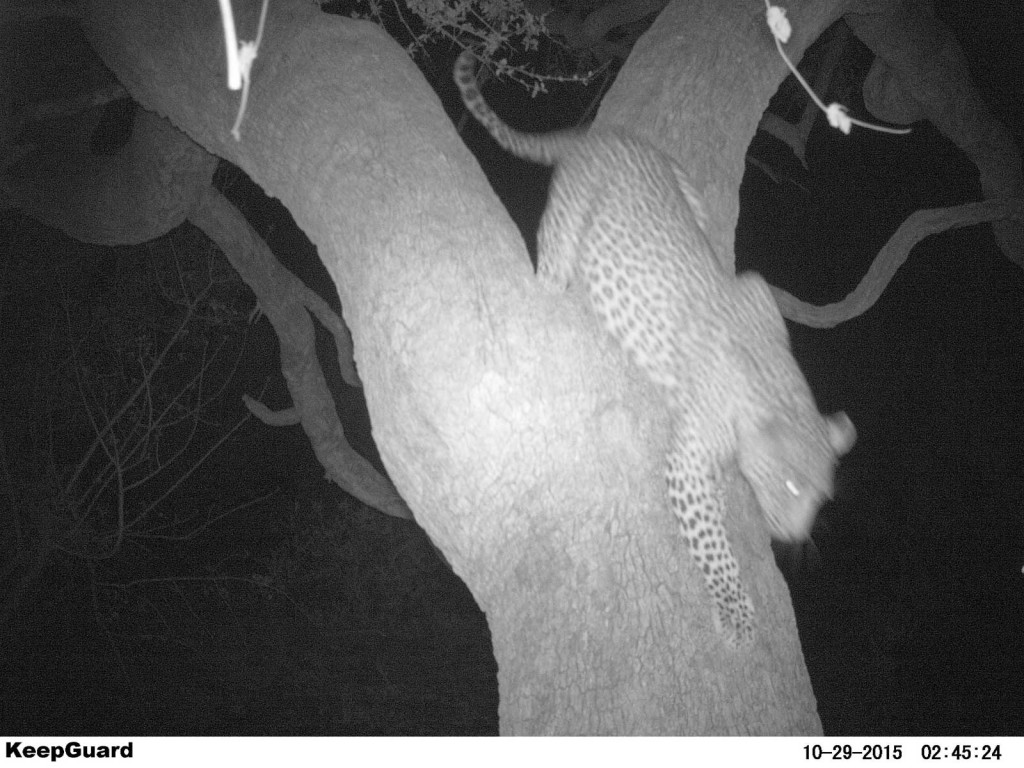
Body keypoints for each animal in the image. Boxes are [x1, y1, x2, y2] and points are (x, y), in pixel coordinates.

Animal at [454, 51, 856, 649]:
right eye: (789, 484)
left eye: (819, 496)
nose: (792, 532)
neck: (772, 385)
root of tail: (599, 134)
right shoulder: (688, 462)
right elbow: (713, 546)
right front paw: (738, 615)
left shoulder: (754, 288)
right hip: (570, 219)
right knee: (553, 259)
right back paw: (552, 287)